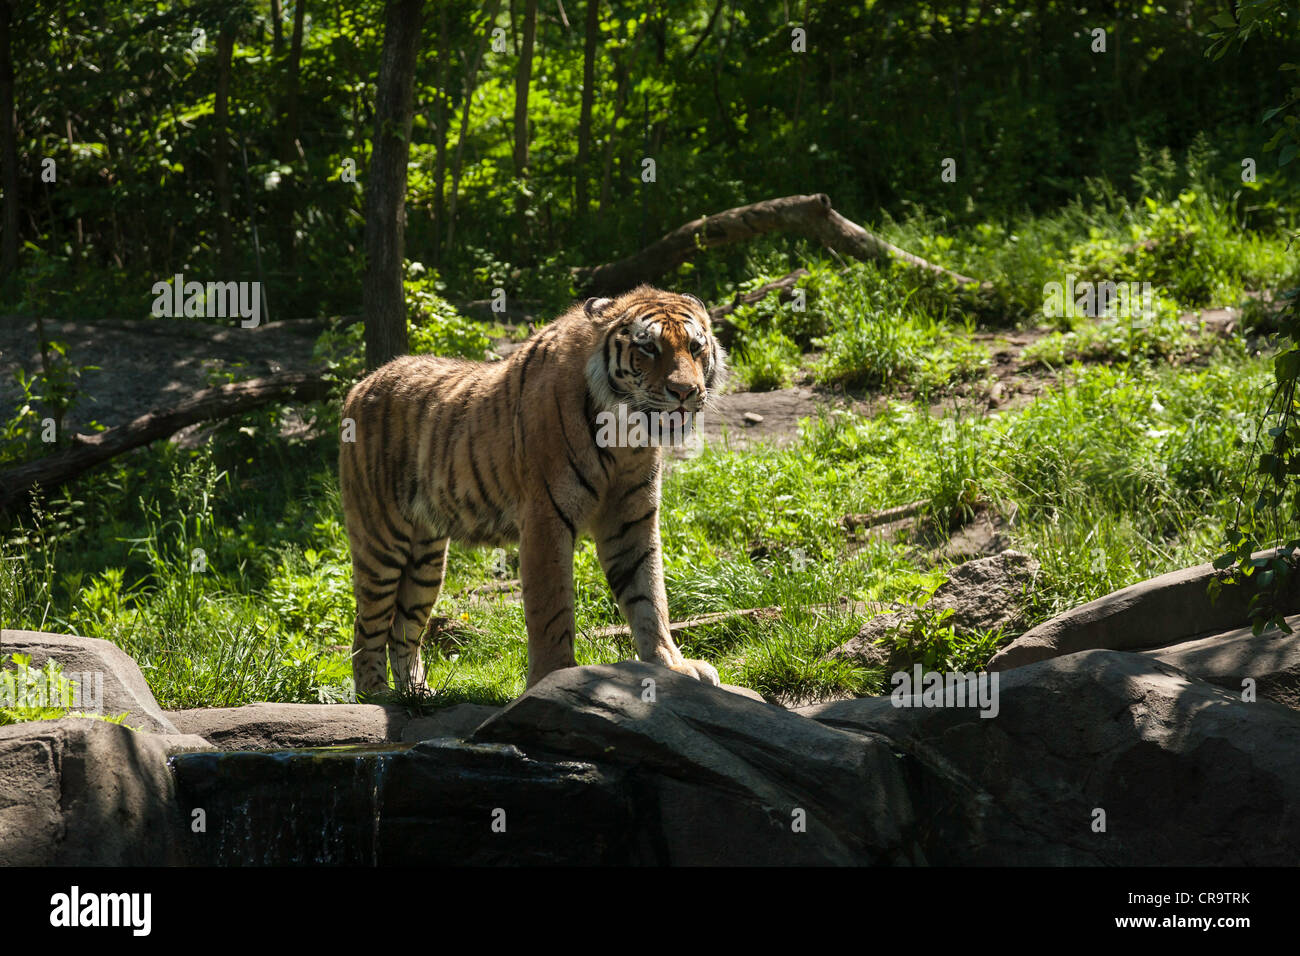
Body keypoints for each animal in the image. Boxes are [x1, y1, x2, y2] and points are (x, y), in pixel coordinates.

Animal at [340, 283, 728, 697]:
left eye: (695, 347)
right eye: (649, 348)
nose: (685, 391)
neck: (625, 433)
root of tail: (361, 383)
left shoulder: (631, 518)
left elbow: (649, 596)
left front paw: (671, 665)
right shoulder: (546, 516)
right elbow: (551, 607)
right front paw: (552, 678)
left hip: (425, 558)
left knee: (403, 627)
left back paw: (417, 694)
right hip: (381, 541)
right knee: (366, 625)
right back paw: (374, 694)